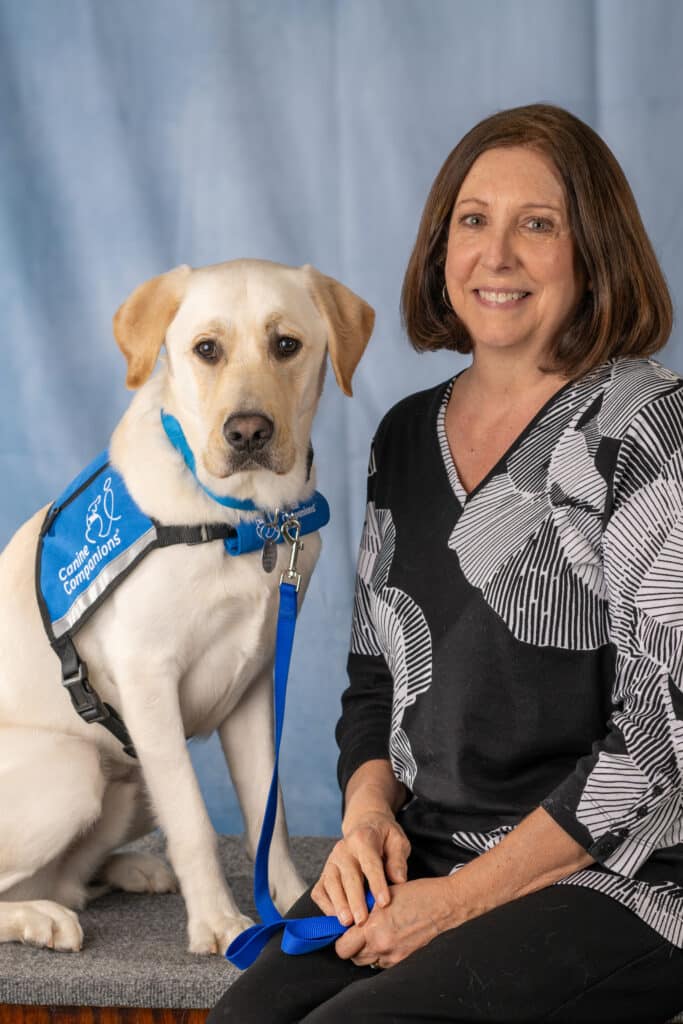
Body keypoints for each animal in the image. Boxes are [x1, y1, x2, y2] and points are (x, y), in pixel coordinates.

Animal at [0, 256, 374, 950]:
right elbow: (196, 819)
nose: (248, 431)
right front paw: (220, 923)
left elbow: (267, 813)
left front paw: (290, 900)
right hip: (78, 768)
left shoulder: (253, 687)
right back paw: (40, 918)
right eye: (207, 350)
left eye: (287, 345)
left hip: (128, 781)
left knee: (67, 877)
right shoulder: (149, 680)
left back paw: (123, 872)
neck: (245, 521)